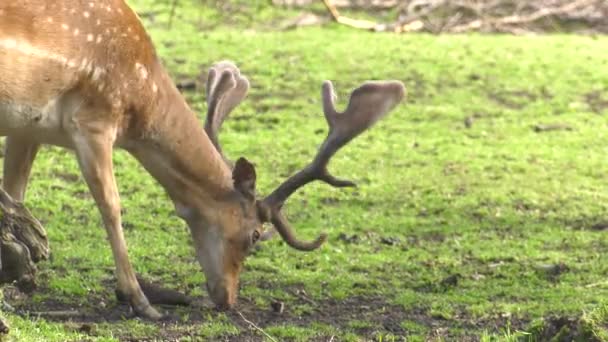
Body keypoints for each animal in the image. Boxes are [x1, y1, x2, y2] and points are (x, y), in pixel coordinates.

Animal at [1, 0, 408, 320]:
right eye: (255, 235)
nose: (228, 299)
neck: (141, 101)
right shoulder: (94, 119)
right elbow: (112, 208)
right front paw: (141, 301)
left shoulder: (29, 128)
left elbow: (16, 197)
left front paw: (22, 280)